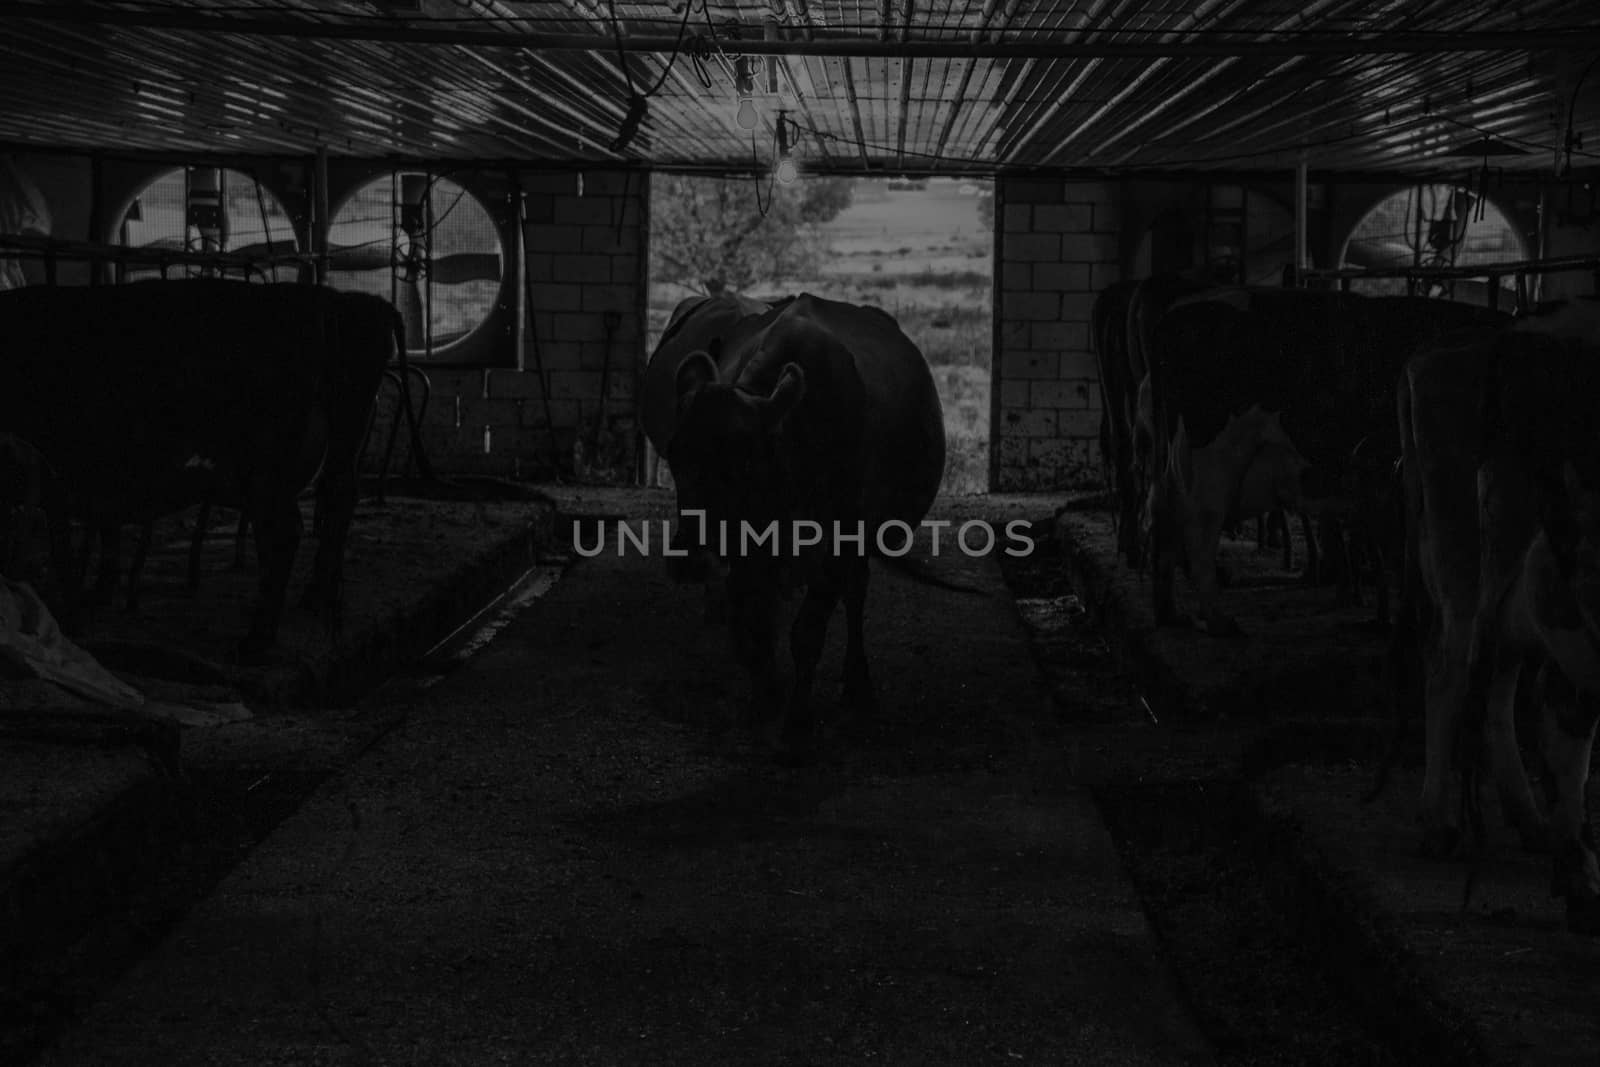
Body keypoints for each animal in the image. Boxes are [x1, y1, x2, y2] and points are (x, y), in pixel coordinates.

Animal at [1145, 287, 1504, 633]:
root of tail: (1174, 314)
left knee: (1164, 513)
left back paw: (1171, 613)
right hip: (1215, 458)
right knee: (1200, 525)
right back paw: (1218, 620)